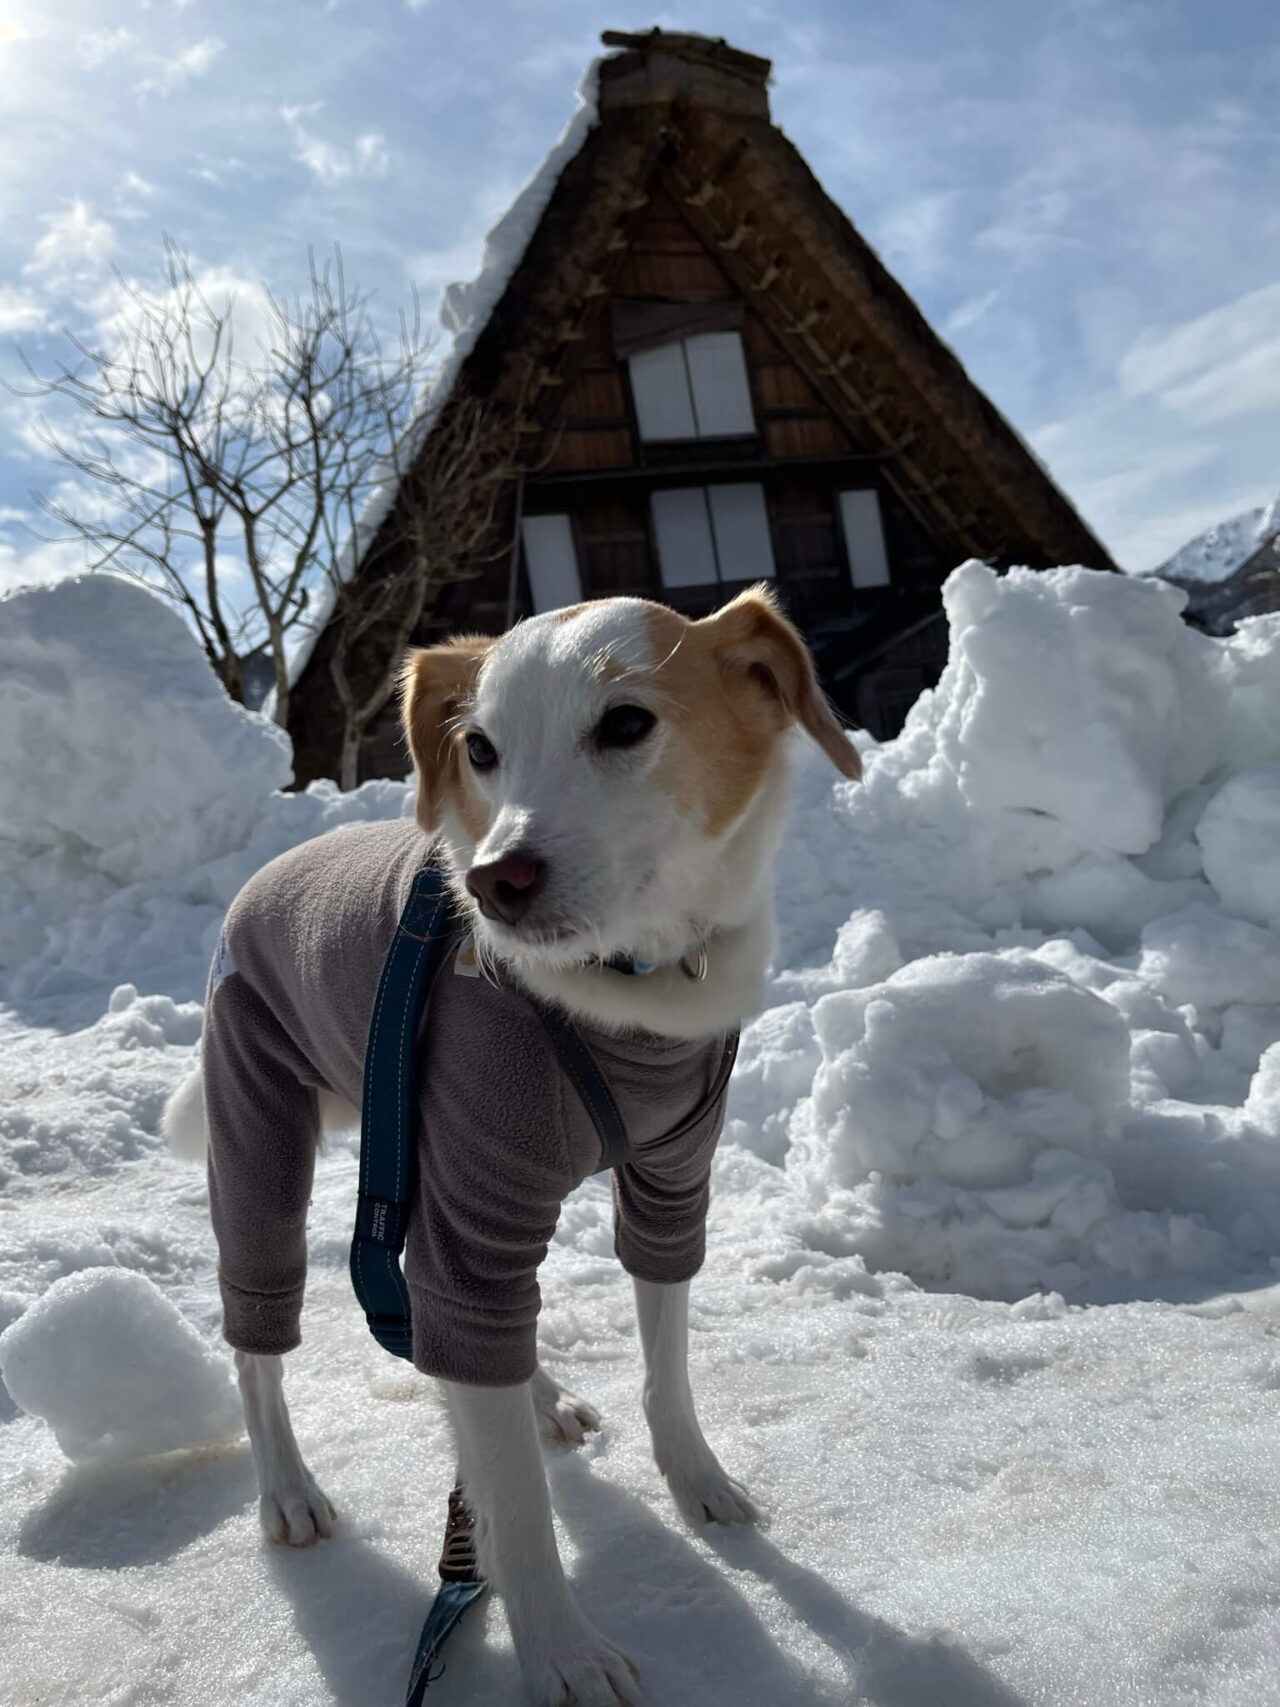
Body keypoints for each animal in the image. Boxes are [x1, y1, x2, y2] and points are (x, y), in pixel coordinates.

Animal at [162, 587, 863, 1707]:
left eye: (626, 723)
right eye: (480, 748)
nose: (495, 880)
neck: (624, 989)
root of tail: (268, 872)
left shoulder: (670, 1183)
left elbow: (664, 1364)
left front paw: (697, 1479)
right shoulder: (477, 1197)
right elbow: (516, 1505)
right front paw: (562, 1655)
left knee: (456, 1324)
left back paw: (532, 1396)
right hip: (256, 1117)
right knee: (261, 1340)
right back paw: (287, 1487)